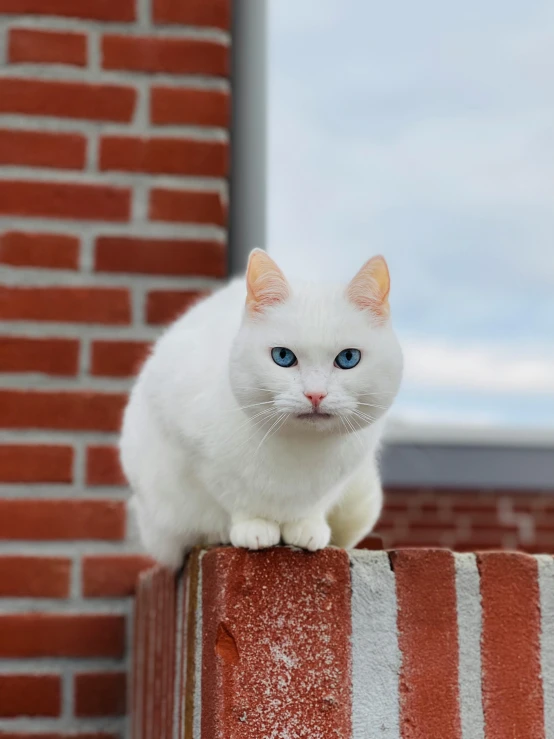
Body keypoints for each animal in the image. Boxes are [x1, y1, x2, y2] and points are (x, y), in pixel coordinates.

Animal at [118, 249, 402, 568]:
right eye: (283, 356)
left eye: (349, 358)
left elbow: (316, 504)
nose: (315, 394)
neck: (301, 449)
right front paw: (253, 527)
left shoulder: (341, 477)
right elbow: (235, 497)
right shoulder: (198, 457)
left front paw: (306, 526)